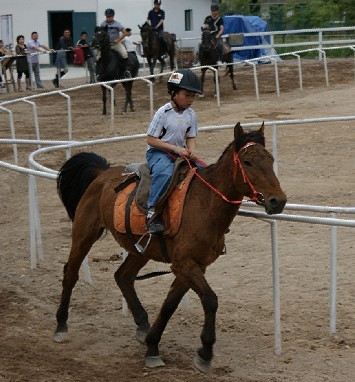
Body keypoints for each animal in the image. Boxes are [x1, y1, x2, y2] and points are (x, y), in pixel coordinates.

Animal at [53, 123, 286, 374]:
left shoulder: (193, 266)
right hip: (84, 234)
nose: (278, 201)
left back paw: (142, 324)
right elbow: (210, 300)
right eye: (247, 162)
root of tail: (101, 173)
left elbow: (169, 305)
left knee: (122, 276)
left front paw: (153, 346)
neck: (205, 205)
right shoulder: (184, 264)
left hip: (139, 249)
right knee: (71, 273)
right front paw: (205, 352)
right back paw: (61, 326)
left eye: (271, 159)